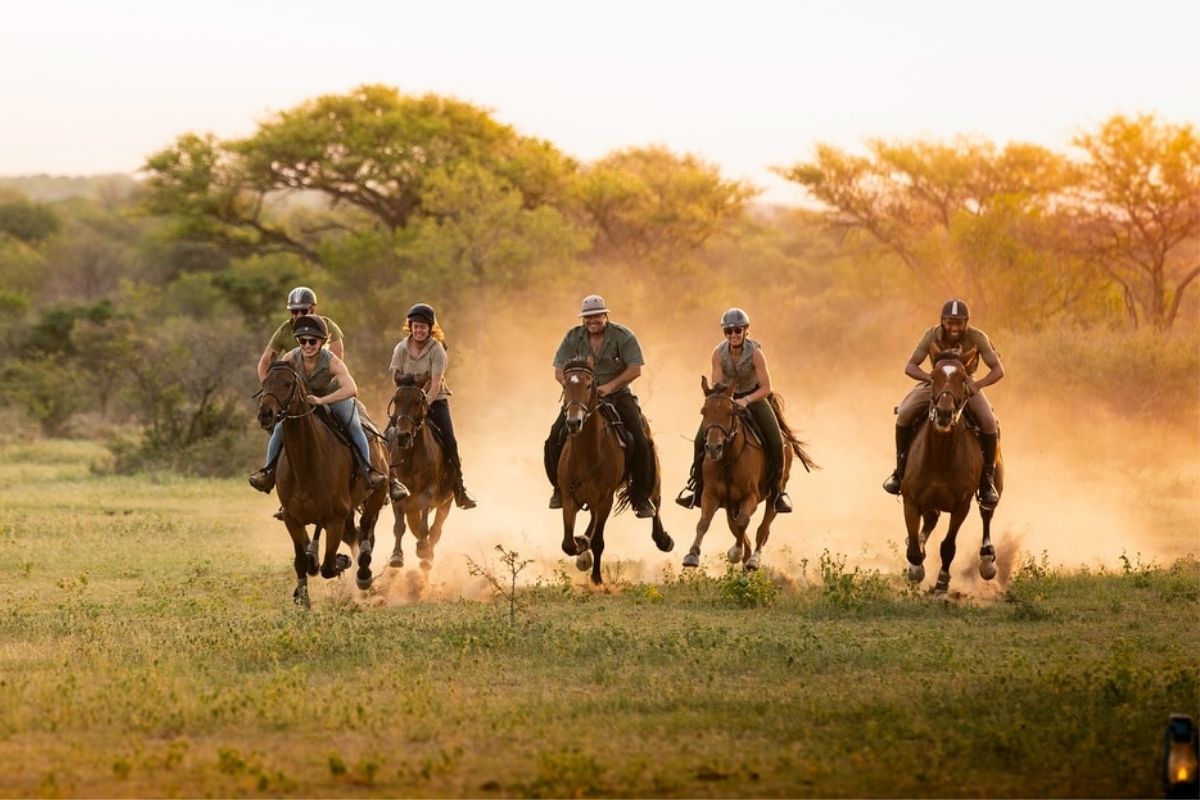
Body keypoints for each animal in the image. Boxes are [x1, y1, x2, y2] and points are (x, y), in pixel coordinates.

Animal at [256, 361, 389, 607]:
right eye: (265, 383)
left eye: (287, 383)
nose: (266, 414)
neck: (307, 464)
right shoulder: (292, 518)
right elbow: (301, 560)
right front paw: (303, 598)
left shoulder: (335, 520)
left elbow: (328, 567)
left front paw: (340, 561)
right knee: (355, 535)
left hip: (375, 495)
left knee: (366, 532)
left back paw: (363, 576)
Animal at [383, 373, 453, 571]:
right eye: (396, 400)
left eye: (417, 401)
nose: (403, 436)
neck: (411, 454)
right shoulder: (400, 493)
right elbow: (399, 526)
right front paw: (396, 557)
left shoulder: (428, 491)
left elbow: (425, 527)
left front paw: (422, 549)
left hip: (447, 502)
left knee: (436, 529)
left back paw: (427, 556)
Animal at [557, 358, 673, 585]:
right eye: (565, 386)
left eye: (588, 385)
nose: (574, 422)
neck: (587, 453)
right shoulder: (569, 498)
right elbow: (567, 544)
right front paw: (582, 547)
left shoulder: (606, 499)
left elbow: (598, 541)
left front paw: (597, 578)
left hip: (652, 475)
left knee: (656, 501)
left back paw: (663, 539)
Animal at [683, 376, 816, 571]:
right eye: (703, 412)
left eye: (730, 412)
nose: (714, 448)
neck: (728, 459)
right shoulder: (711, 495)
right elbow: (704, 522)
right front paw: (692, 555)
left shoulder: (750, 497)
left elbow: (742, 523)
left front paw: (735, 552)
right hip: (730, 505)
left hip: (773, 496)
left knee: (763, 528)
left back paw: (753, 559)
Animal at [900, 352, 1003, 593]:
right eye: (933, 376)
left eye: (963, 378)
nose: (945, 412)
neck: (941, 455)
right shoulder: (911, 500)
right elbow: (914, 546)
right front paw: (915, 568)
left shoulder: (961, 506)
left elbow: (948, 546)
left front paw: (941, 583)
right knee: (930, 520)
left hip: (995, 484)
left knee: (987, 513)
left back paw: (987, 561)